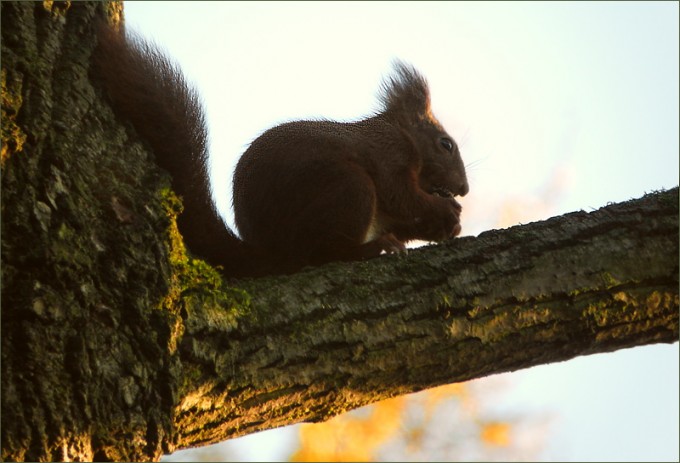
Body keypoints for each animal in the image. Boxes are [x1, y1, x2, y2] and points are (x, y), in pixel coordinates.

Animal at [92, 23, 469, 278]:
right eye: (446, 144)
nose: (464, 189)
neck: (401, 132)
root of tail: (269, 254)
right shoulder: (390, 155)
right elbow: (402, 196)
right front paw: (444, 209)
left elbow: (404, 216)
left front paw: (446, 224)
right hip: (349, 189)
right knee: (325, 254)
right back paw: (372, 248)